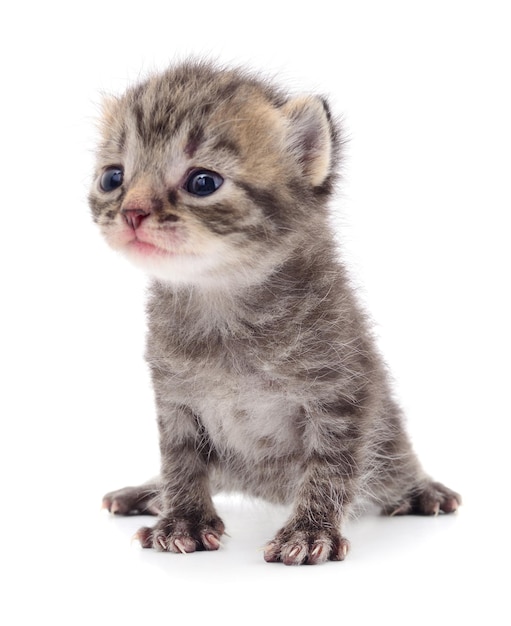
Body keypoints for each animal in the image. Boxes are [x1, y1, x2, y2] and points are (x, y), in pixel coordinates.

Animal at [90, 61, 462, 564]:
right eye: (113, 178)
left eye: (203, 182)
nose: (131, 212)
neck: (221, 302)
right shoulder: (175, 400)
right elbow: (180, 462)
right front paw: (184, 519)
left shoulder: (341, 394)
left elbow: (331, 466)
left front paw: (308, 530)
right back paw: (148, 494)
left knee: (393, 465)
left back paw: (422, 489)